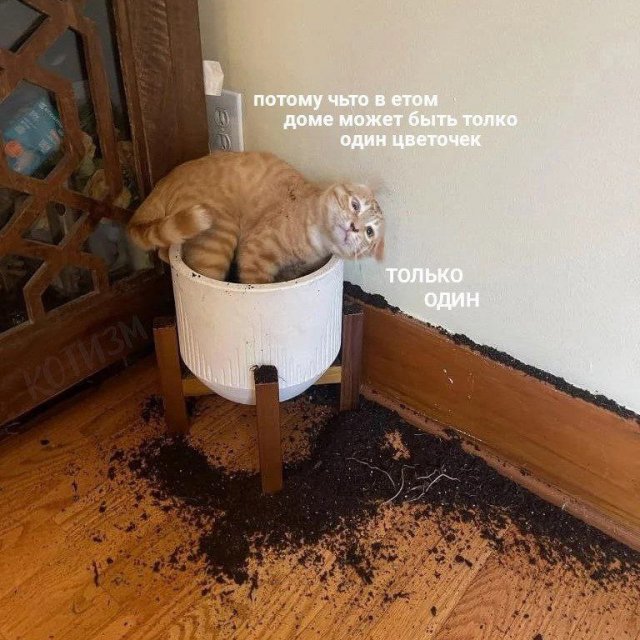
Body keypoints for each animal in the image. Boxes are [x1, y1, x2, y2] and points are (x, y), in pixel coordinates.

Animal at [127, 151, 384, 284]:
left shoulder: (289, 271)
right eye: (355, 205)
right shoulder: (255, 256)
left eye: (369, 232)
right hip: (220, 237)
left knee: (163, 251)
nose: (354, 226)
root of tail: (164, 181)